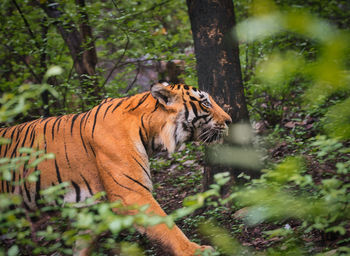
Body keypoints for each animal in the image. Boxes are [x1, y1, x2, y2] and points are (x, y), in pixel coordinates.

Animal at [0, 82, 232, 256]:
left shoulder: (89, 208)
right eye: (205, 103)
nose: (229, 120)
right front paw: (195, 250)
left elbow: (82, 244)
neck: (151, 132)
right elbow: (167, 226)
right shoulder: (131, 194)